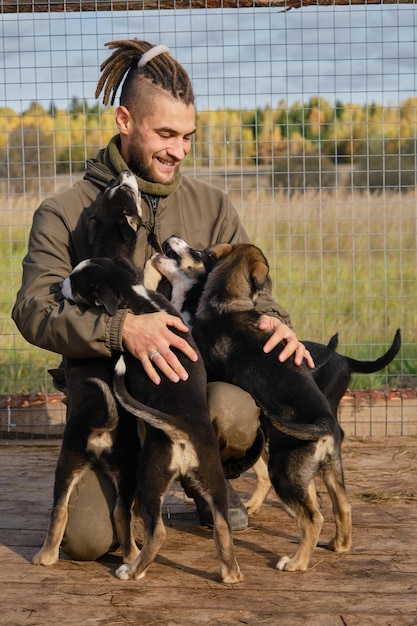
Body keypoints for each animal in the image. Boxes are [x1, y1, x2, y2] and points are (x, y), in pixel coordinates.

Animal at [59, 256, 240, 584]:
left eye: (75, 284)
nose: (59, 285)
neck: (132, 294)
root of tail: (181, 432)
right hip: (212, 478)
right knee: (222, 525)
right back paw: (231, 574)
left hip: (149, 480)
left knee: (157, 532)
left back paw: (131, 570)